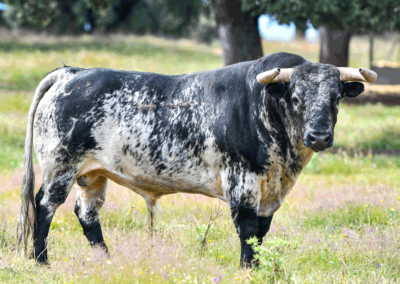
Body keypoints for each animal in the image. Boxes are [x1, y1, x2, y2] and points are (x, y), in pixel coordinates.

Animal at [17, 51, 376, 266]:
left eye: (336, 98)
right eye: (297, 98)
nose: (319, 137)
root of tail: (71, 73)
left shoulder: (268, 192)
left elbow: (261, 233)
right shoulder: (242, 183)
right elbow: (248, 231)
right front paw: (248, 269)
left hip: (92, 174)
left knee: (87, 214)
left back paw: (107, 261)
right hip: (60, 167)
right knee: (44, 205)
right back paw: (42, 261)